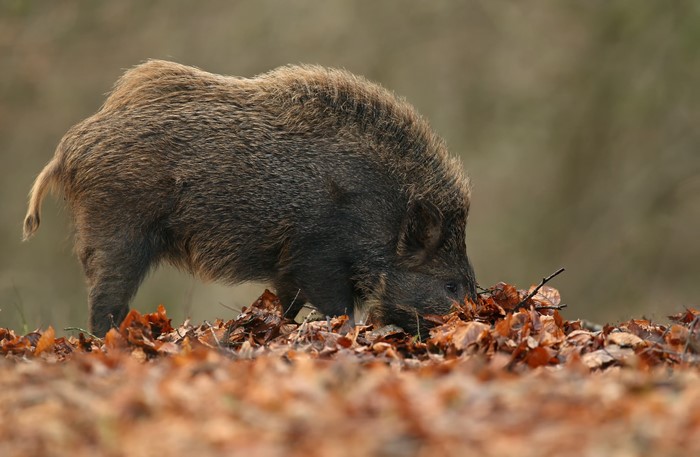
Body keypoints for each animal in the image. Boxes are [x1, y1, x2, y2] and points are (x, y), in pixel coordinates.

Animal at [23, 60, 477, 337]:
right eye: (450, 284)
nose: (478, 318)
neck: (382, 213)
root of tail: (70, 149)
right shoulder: (317, 257)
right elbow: (338, 310)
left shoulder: (289, 268)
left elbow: (286, 305)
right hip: (117, 232)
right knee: (105, 301)